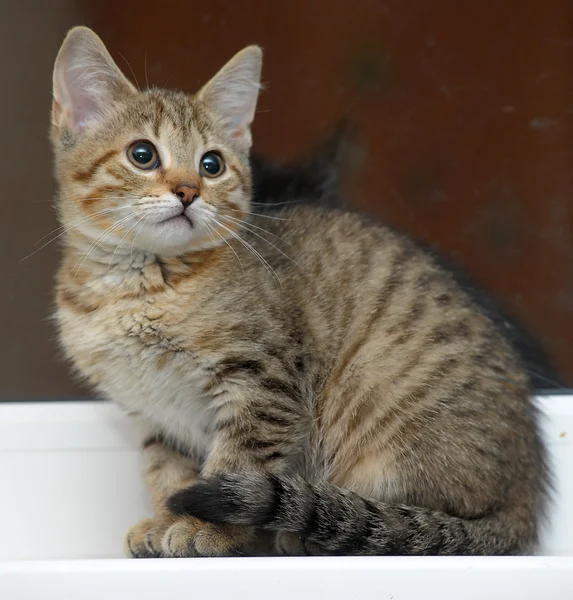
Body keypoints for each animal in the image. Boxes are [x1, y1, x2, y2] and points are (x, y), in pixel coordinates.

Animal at [51, 25, 548, 556]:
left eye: (211, 164)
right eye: (142, 155)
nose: (188, 191)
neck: (137, 286)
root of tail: (524, 496)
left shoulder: (265, 382)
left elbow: (235, 464)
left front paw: (206, 528)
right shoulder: (158, 416)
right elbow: (167, 471)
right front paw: (166, 519)